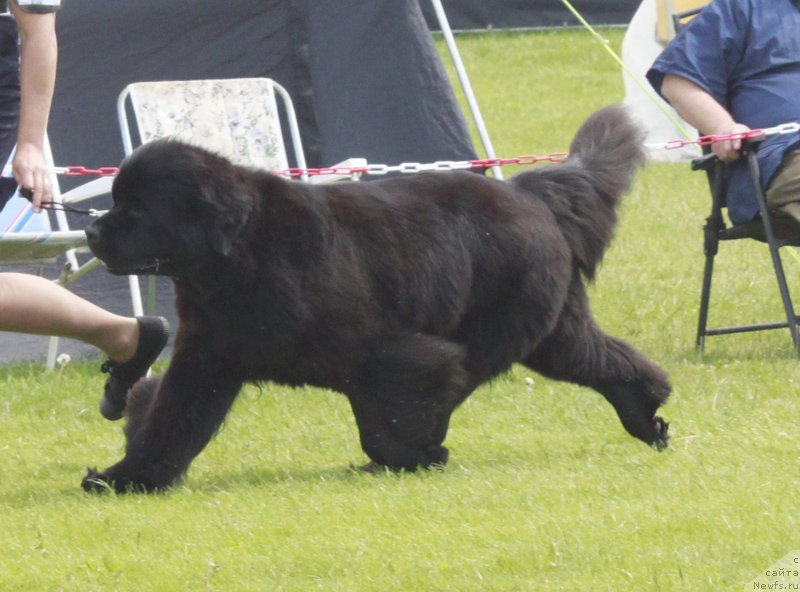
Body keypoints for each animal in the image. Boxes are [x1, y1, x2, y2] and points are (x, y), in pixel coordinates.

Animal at [83, 104, 668, 492]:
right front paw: (125, 477)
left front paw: (410, 455)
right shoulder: (208, 356)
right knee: (605, 359)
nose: (90, 231)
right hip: (550, 331)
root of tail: (528, 192)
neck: (239, 256)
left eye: (136, 210)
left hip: (501, 327)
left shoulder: (388, 353)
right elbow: (171, 420)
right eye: (115, 201)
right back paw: (647, 413)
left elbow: (388, 419)